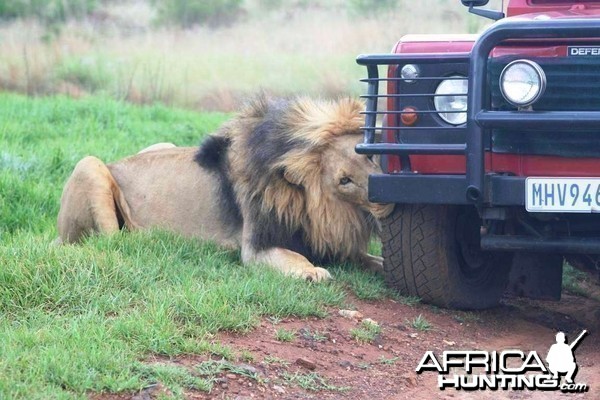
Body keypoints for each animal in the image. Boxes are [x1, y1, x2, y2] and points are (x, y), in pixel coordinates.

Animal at [56, 96, 394, 282]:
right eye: (344, 180)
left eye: (370, 156)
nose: (385, 198)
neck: (323, 210)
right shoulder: (255, 248)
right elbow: (292, 256)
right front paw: (313, 272)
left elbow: (371, 260)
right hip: (89, 166)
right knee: (109, 242)